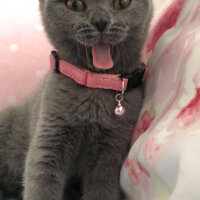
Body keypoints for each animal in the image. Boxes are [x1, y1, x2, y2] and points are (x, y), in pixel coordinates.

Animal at [0, 0, 152, 199]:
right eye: (75, 4)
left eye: (122, 3)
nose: (100, 20)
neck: (96, 82)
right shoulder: (50, 136)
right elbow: (40, 183)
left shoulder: (110, 150)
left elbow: (102, 189)